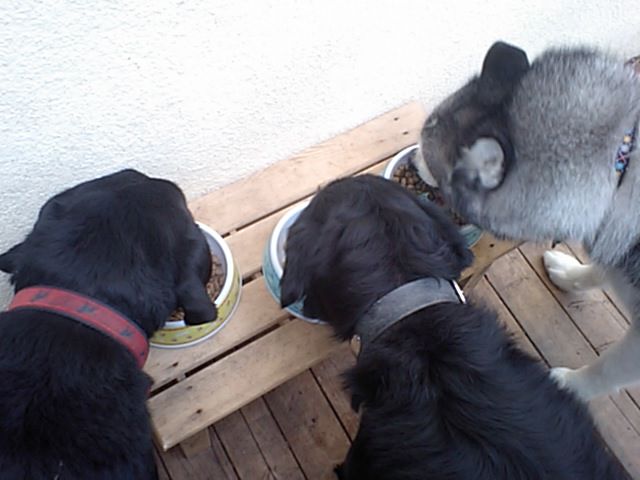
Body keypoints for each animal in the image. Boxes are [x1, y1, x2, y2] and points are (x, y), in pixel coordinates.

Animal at [415, 41, 640, 401]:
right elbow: (599, 269)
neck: (617, 168)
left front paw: (570, 385)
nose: (411, 158)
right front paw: (572, 275)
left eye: (426, 151)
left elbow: (608, 368)